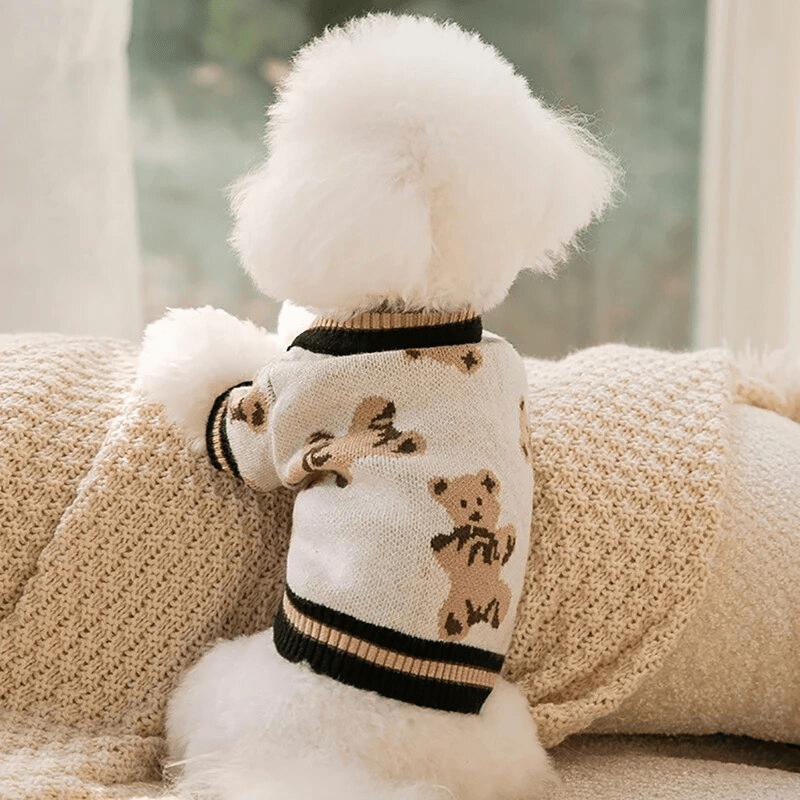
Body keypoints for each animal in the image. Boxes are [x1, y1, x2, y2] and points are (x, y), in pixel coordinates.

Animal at [428, 469, 516, 642]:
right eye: (462, 503)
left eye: (480, 500)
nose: (475, 515)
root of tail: (479, 613)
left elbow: (505, 535)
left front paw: (508, 542)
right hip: (456, 604)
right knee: (454, 619)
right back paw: (453, 627)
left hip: (500, 589)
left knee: (502, 599)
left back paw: (495, 617)